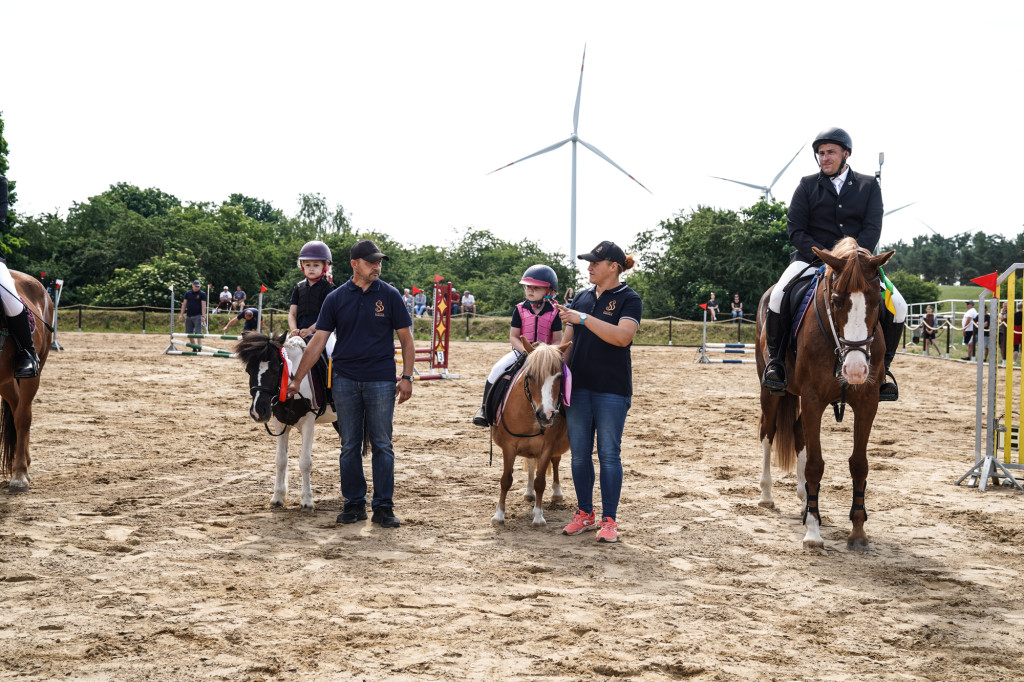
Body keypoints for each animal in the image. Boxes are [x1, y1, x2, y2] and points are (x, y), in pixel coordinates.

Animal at [233, 331, 335, 507]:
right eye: (248, 370)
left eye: (275, 370)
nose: (258, 412)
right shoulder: (280, 422)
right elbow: (280, 460)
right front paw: (278, 497)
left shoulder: (308, 422)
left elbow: (305, 462)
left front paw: (307, 500)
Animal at [491, 337, 573, 524]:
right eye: (530, 376)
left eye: (559, 377)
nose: (546, 415)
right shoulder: (509, 446)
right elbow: (506, 479)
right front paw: (499, 515)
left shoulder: (547, 448)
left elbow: (540, 482)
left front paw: (538, 516)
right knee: (529, 463)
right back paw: (529, 493)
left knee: (555, 462)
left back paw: (557, 493)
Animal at [753, 236, 897, 548]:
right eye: (836, 300)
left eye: (876, 301)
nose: (855, 370)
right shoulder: (813, 399)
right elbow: (815, 465)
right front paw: (812, 532)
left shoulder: (867, 403)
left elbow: (859, 464)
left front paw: (858, 532)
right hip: (771, 392)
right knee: (768, 432)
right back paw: (767, 495)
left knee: (798, 434)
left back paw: (804, 498)